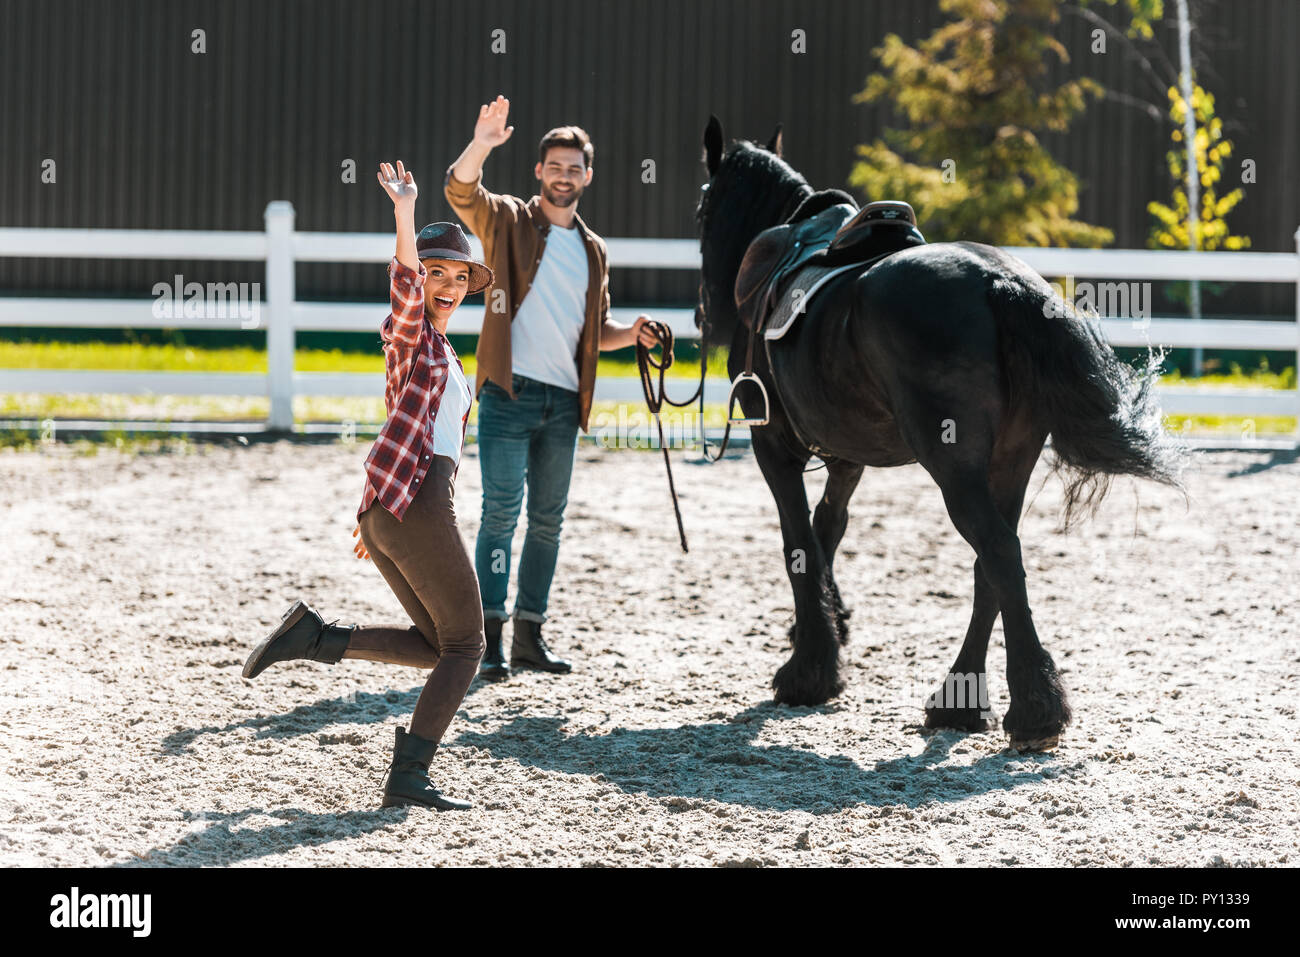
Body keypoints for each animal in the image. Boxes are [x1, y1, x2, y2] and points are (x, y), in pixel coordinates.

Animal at [702, 115, 1190, 748]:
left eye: (704, 204)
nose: (702, 314)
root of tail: (1001, 283)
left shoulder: (774, 448)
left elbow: (799, 543)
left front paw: (809, 669)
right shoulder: (847, 456)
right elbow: (828, 529)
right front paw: (829, 628)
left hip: (954, 467)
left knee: (998, 552)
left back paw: (1034, 708)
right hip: (1010, 461)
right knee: (994, 562)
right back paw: (961, 698)